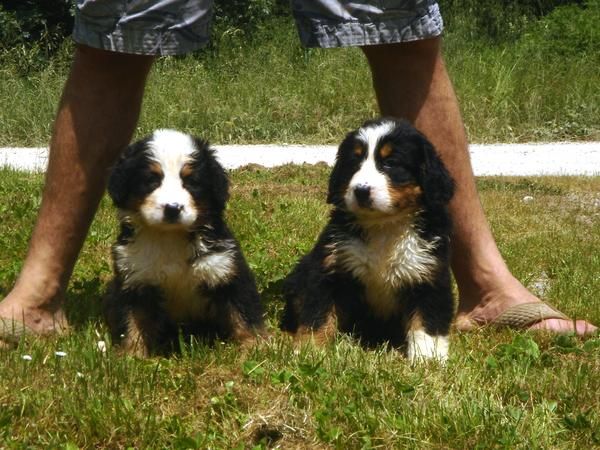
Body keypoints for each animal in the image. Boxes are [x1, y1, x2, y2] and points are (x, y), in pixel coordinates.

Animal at [104, 129, 264, 356]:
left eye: (191, 182)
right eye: (151, 180)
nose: (172, 208)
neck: (170, 237)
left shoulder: (225, 269)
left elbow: (243, 314)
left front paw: (256, 347)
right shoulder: (135, 278)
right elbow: (133, 321)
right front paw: (132, 354)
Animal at [282, 118, 454, 362]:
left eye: (390, 163)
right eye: (354, 163)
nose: (361, 191)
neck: (383, 226)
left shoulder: (429, 275)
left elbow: (427, 322)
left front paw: (426, 358)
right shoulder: (329, 268)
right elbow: (318, 314)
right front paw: (309, 351)